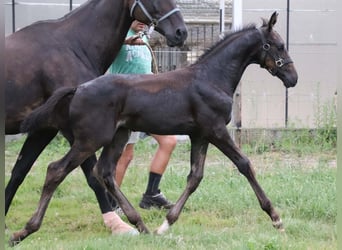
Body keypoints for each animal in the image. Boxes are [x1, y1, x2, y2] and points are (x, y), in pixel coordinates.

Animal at [4, 0, 187, 236]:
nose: (181, 32)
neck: (73, 45)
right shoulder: (78, 131)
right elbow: (93, 175)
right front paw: (117, 224)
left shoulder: (44, 129)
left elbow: (19, 172)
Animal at [20, 12, 296, 238]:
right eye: (279, 46)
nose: (293, 78)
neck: (211, 78)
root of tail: (78, 88)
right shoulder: (216, 130)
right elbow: (244, 164)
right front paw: (276, 219)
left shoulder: (200, 135)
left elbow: (195, 177)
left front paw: (166, 224)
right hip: (91, 139)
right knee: (56, 170)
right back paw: (25, 230)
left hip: (118, 135)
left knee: (104, 172)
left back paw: (140, 225)